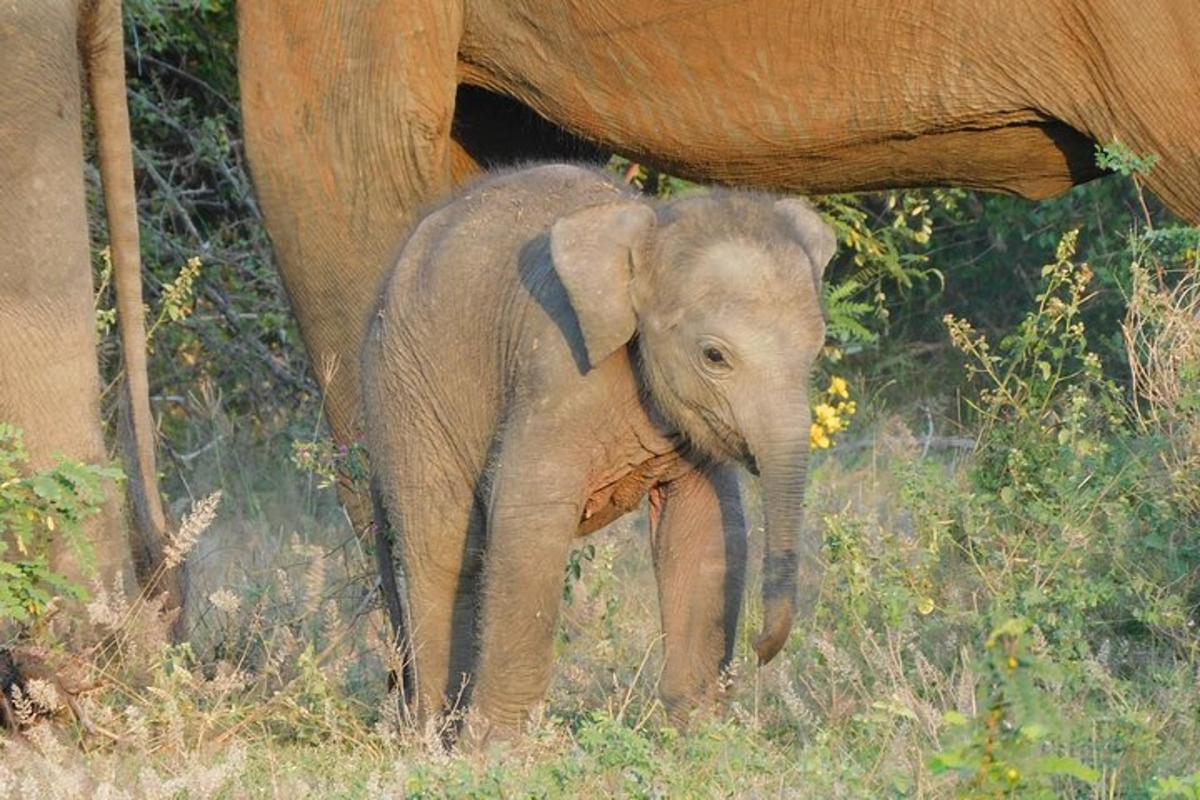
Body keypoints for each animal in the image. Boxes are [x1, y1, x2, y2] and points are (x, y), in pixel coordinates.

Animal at [364, 164, 835, 743]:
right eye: (714, 356)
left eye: (816, 349)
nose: (759, 650)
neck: (648, 229)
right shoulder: (558, 371)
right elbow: (528, 519)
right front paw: (496, 753)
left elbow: (704, 529)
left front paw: (701, 739)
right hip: (407, 390)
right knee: (440, 545)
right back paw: (431, 738)